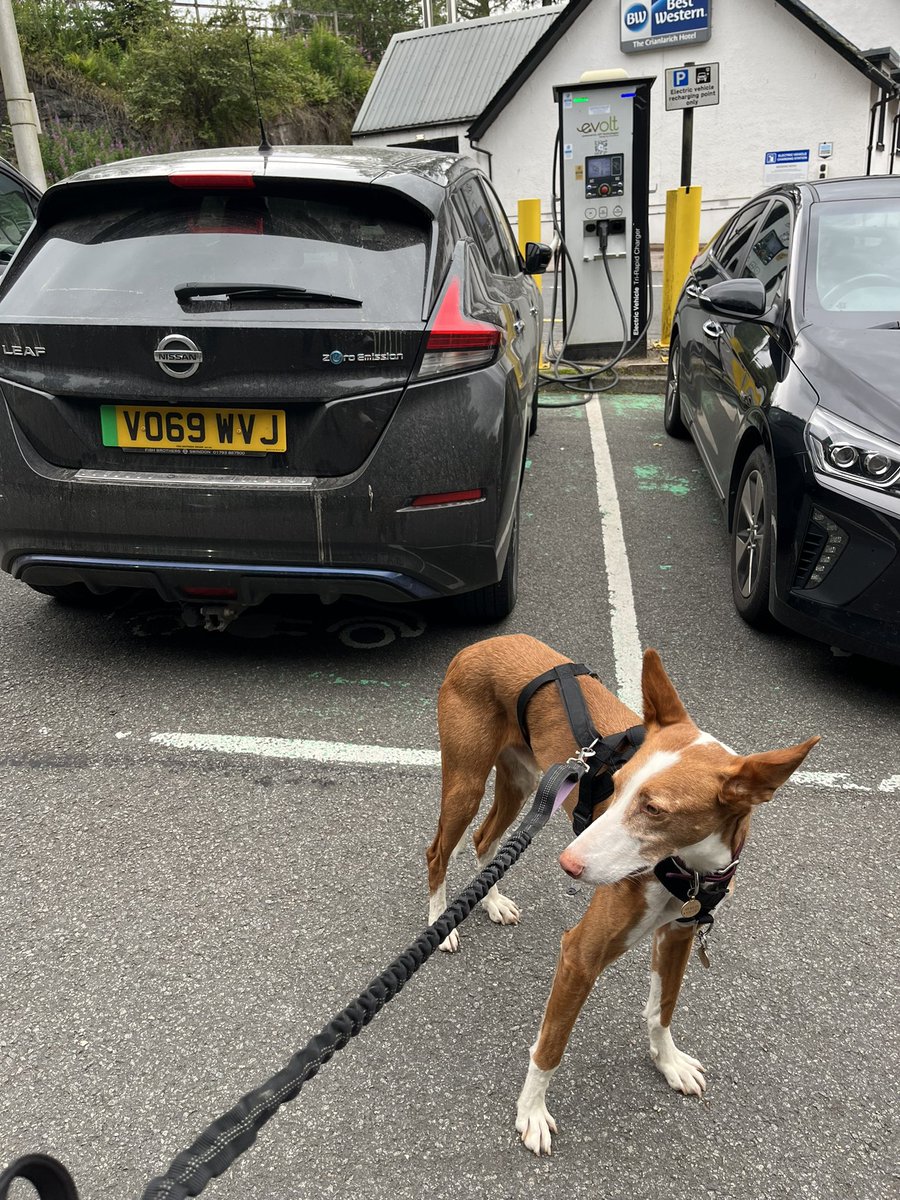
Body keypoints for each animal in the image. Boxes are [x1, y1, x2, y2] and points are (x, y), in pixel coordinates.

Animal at [427, 638, 820, 1152]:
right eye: (614, 785)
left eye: (654, 810)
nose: (568, 864)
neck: (688, 871)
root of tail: (479, 645)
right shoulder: (580, 955)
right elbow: (550, 1046)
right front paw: (531, 1112)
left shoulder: (679, 934)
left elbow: (663, 1009)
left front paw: (668, 1063)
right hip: (467, 781)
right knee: (438, 851)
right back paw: (439, 922)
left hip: (525, 780)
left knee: (484, 839)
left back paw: (491, 900)